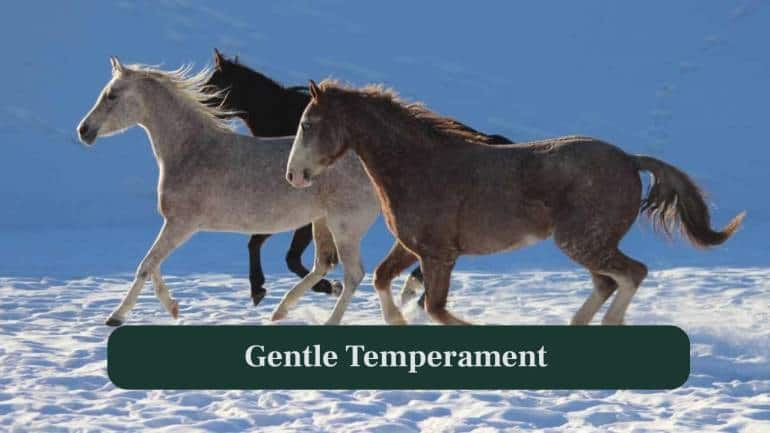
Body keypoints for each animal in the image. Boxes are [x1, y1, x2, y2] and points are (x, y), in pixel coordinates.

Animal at [76, 59, 381, 326]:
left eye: (112, 95)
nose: (83, 130)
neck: (192, 150)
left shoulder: (181, 225)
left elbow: (146, 265)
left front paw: (116, 317)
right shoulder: (175, 225)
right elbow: (154, 266)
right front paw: (174, 309)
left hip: (344, 226)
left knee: (353, 274)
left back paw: (325, 317)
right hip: (322, 223)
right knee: (322, 263)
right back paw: (280, 311)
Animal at [286, 80, 745, 326]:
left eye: (308, 124)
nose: (293, 176)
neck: (418, 166)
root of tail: (630, 160)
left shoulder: (439, 255)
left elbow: (436, 309)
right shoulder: (412, 247)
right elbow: (383, 280)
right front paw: (397, 322)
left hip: (583, 241)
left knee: (632, 274)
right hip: (587, 244)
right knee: (607, 282)